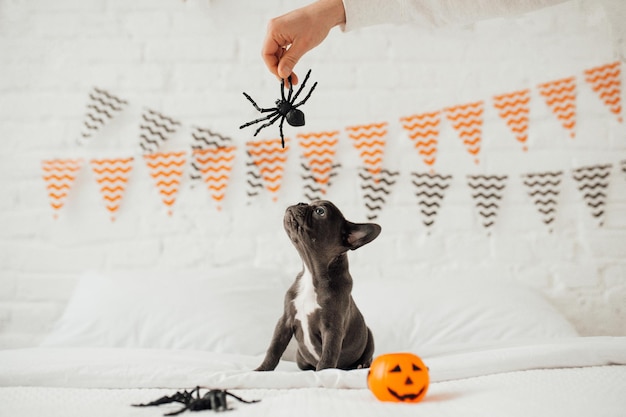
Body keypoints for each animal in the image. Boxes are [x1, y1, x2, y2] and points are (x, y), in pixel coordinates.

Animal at [255, 200, 380, 368]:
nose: (300, 202)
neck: (312, 274)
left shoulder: (332, 329)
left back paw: (362, 365)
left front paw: (324, 373)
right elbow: (273, 349)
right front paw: (261, 370)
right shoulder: (284, 321)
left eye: (320, 211)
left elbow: (327, 356)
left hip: (369, 335)